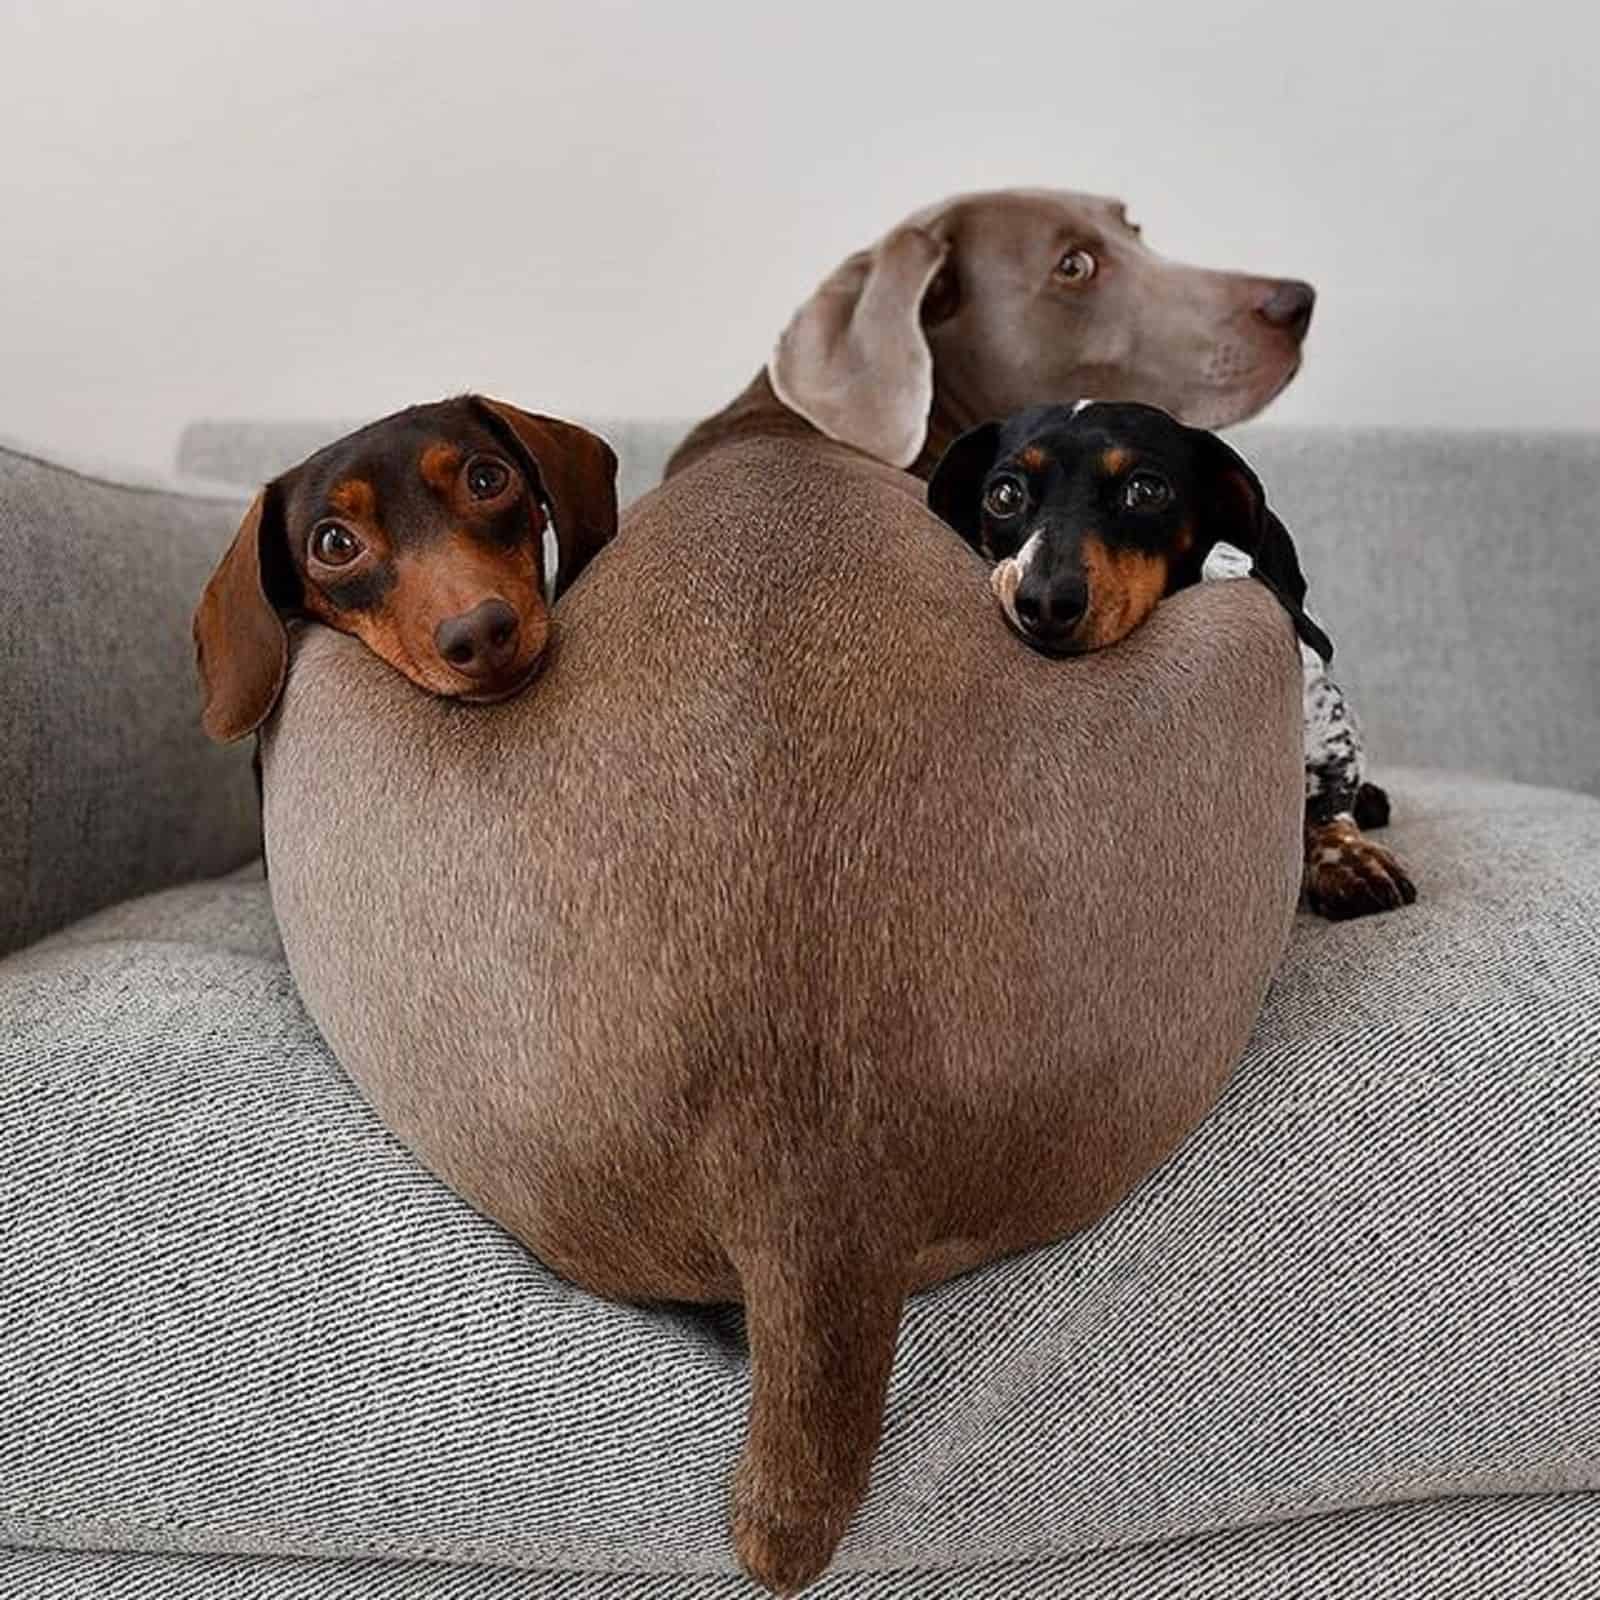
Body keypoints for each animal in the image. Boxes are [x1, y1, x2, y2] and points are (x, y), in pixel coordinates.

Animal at [236, 193, 1312, 1593]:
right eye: (1077, 264)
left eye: (1130, 227)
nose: (1294, 300)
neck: (787, 420)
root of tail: (809, 1179)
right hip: (1249, 630)